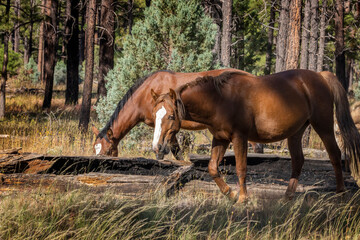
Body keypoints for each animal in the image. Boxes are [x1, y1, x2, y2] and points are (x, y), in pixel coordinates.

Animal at [150, 69, 360, 202]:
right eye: (155, 115)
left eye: (171, 116)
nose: (157, 147)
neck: (219, 100)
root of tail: (320, 76)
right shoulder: (220, 139)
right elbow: (212, 168)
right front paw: (231, 194)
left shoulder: (239, 138)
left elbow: (241, 168)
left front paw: (243, 198)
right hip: (296, 133)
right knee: (298, 161)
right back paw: (287, 197)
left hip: (323, 126)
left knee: (335, 156)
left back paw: (340, 194)